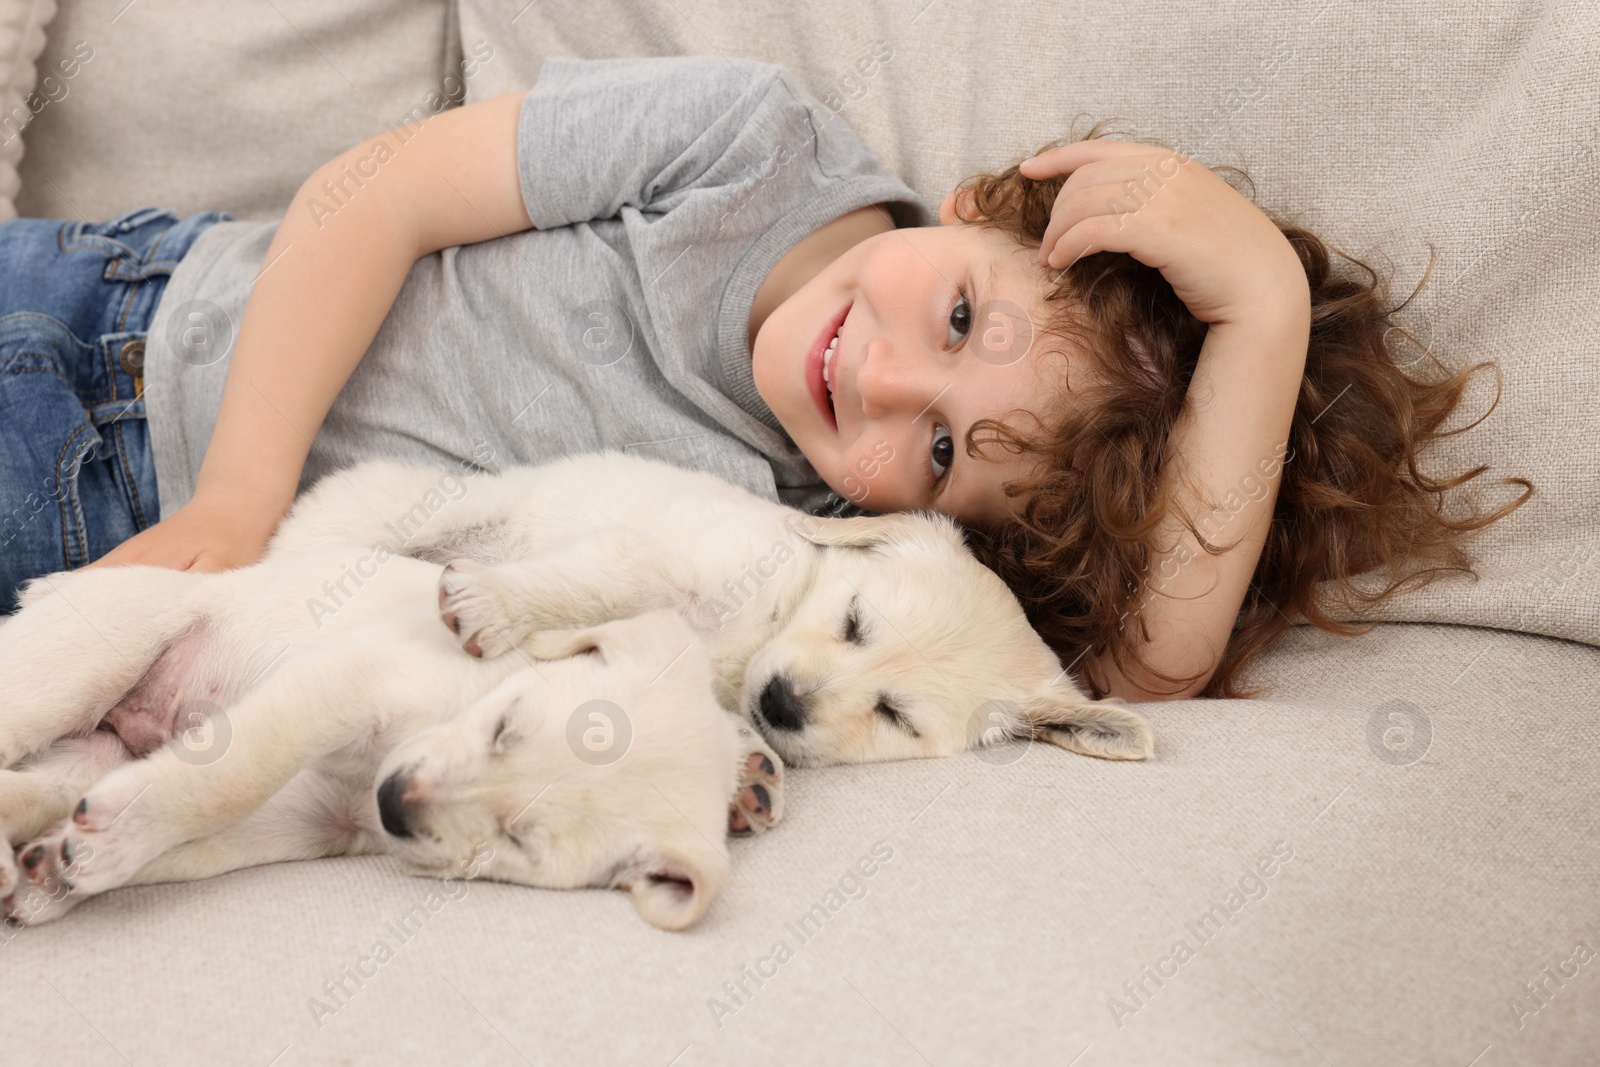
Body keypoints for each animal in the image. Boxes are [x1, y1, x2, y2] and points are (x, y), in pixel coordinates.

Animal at [268, 447, 1158, 767]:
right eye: (854, 620)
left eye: (895, 714)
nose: (782, 703)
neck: (770, 621)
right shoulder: (658, 557)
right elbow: (595, 585)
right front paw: (493, 603)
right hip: (392, 513)